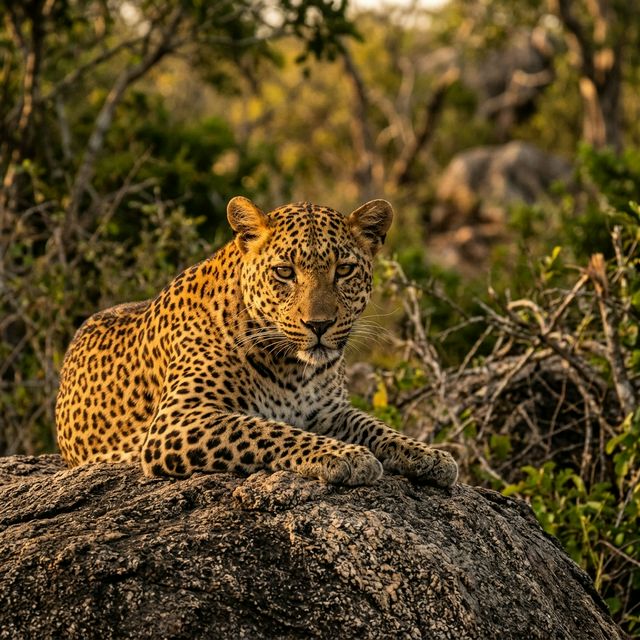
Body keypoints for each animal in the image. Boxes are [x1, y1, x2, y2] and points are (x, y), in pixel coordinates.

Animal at [56, 197, 458, 487]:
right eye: (284, 271)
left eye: (343, 270)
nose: (319, 325)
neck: (294, 368)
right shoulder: (179, 419)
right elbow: (269, 430)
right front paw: (346, 456)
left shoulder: (329, 411)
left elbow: (374, 425)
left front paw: (429, 455)